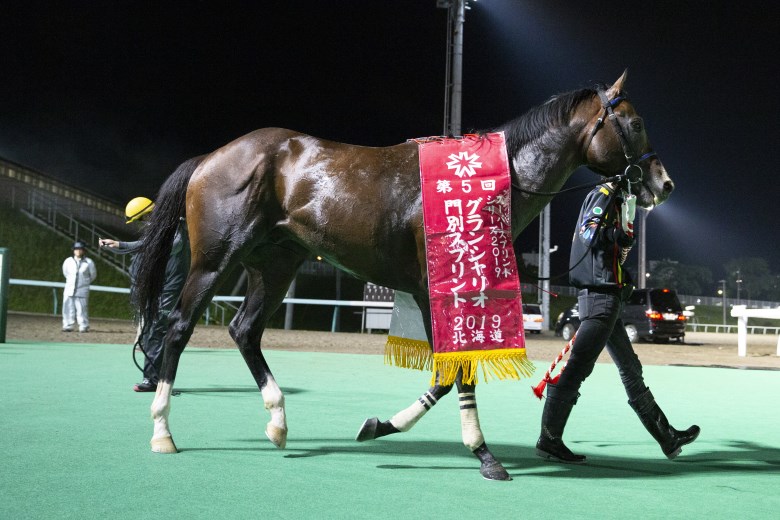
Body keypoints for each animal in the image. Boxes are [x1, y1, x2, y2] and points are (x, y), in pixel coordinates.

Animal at [133, 71, 674, 481]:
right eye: (636, 123)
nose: (663, 183)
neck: (480, 182)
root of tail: (212, 157)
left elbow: (446, 376)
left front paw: (381, 425)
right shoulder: (442, 292)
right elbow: (458, 373)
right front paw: (484, 455)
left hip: (276, 263)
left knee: (244, 330)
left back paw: (278, 422)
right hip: (214, 261)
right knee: (178, 329)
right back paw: (161, 431)